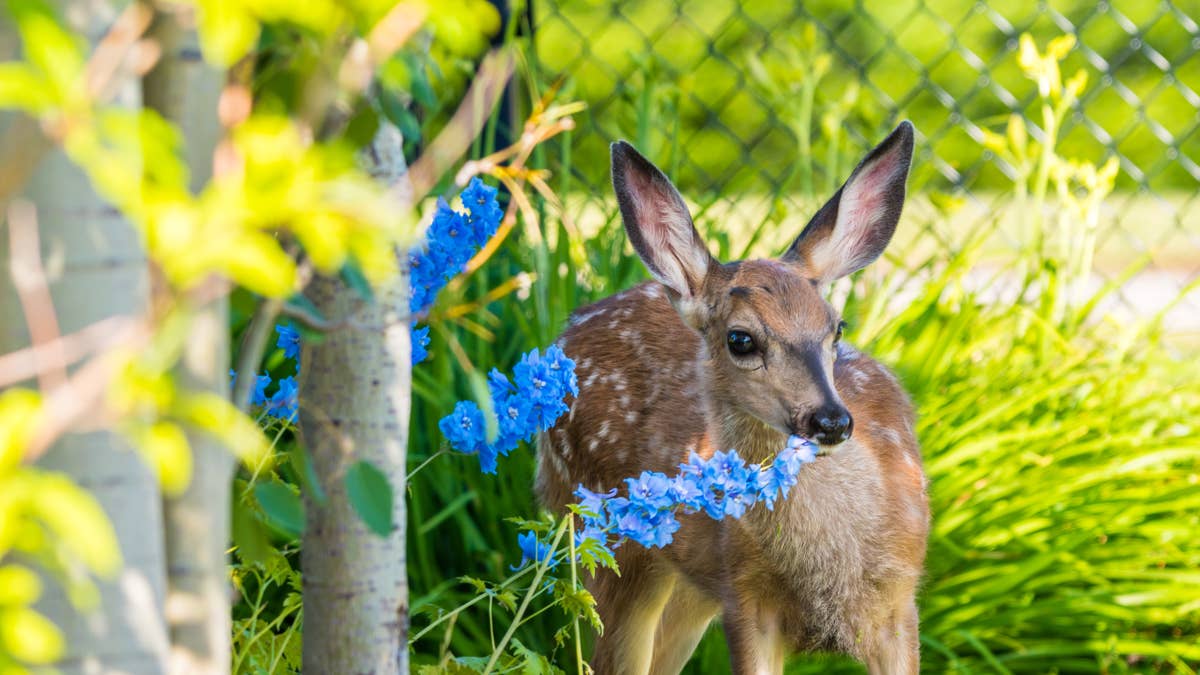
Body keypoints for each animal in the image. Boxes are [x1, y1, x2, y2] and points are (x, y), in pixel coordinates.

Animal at [535, 121, 929, 674]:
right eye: (741, 339)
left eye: (837, 328)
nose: (831, 422)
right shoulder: (745, 600)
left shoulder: (899, 601)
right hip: (605, 537)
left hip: (684, 582)